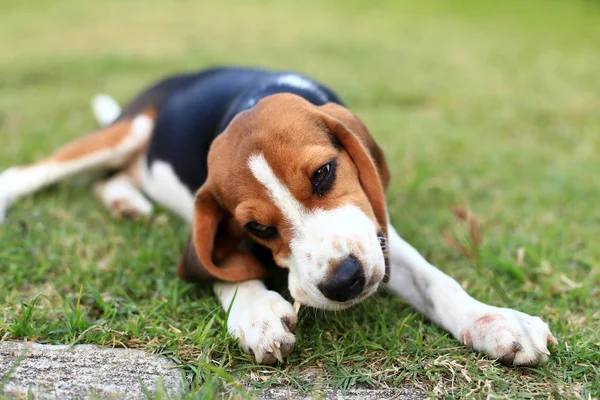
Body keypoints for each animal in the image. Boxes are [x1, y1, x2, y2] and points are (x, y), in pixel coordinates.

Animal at [0, 66, 556, 366]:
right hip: (125, 131)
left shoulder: (377, 232)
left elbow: (436, 281)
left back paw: (127, 202)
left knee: (108, 178)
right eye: (258, 228)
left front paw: (493, 321)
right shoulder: (208, 223)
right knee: (30, 172)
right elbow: (221, 267)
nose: (344, 281)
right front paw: (257, 314)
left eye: (325, 174)